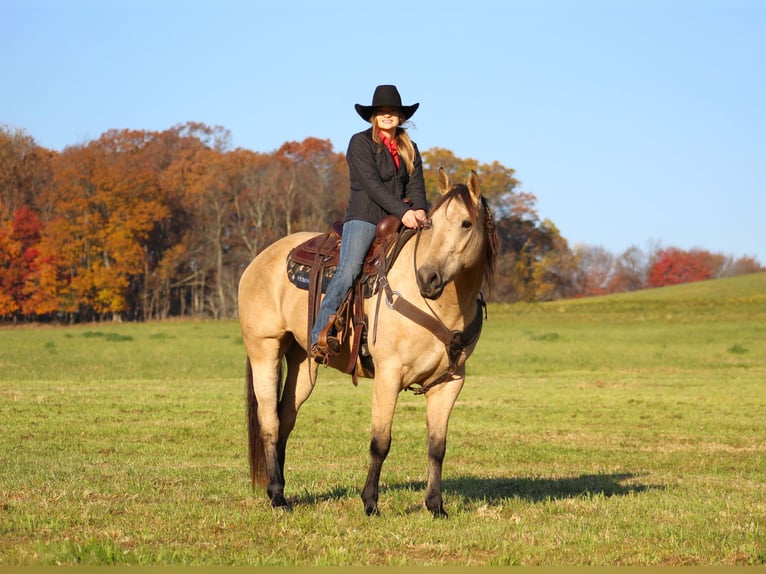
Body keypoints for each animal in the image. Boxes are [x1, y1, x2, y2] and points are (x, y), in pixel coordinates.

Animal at [243, 169, 500, 520]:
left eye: (466, 224)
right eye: (431, 225)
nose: (428, 278)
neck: (442, 305)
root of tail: (258, 260)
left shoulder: (449, 382)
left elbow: (437, 447)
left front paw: (436, 506)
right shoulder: (388, 375)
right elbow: (380, 442)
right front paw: (370, 503)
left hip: (303, 361)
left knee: (285, 419)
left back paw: (278, 489)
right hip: (264, 349)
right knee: (269, 422)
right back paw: (278, 500)